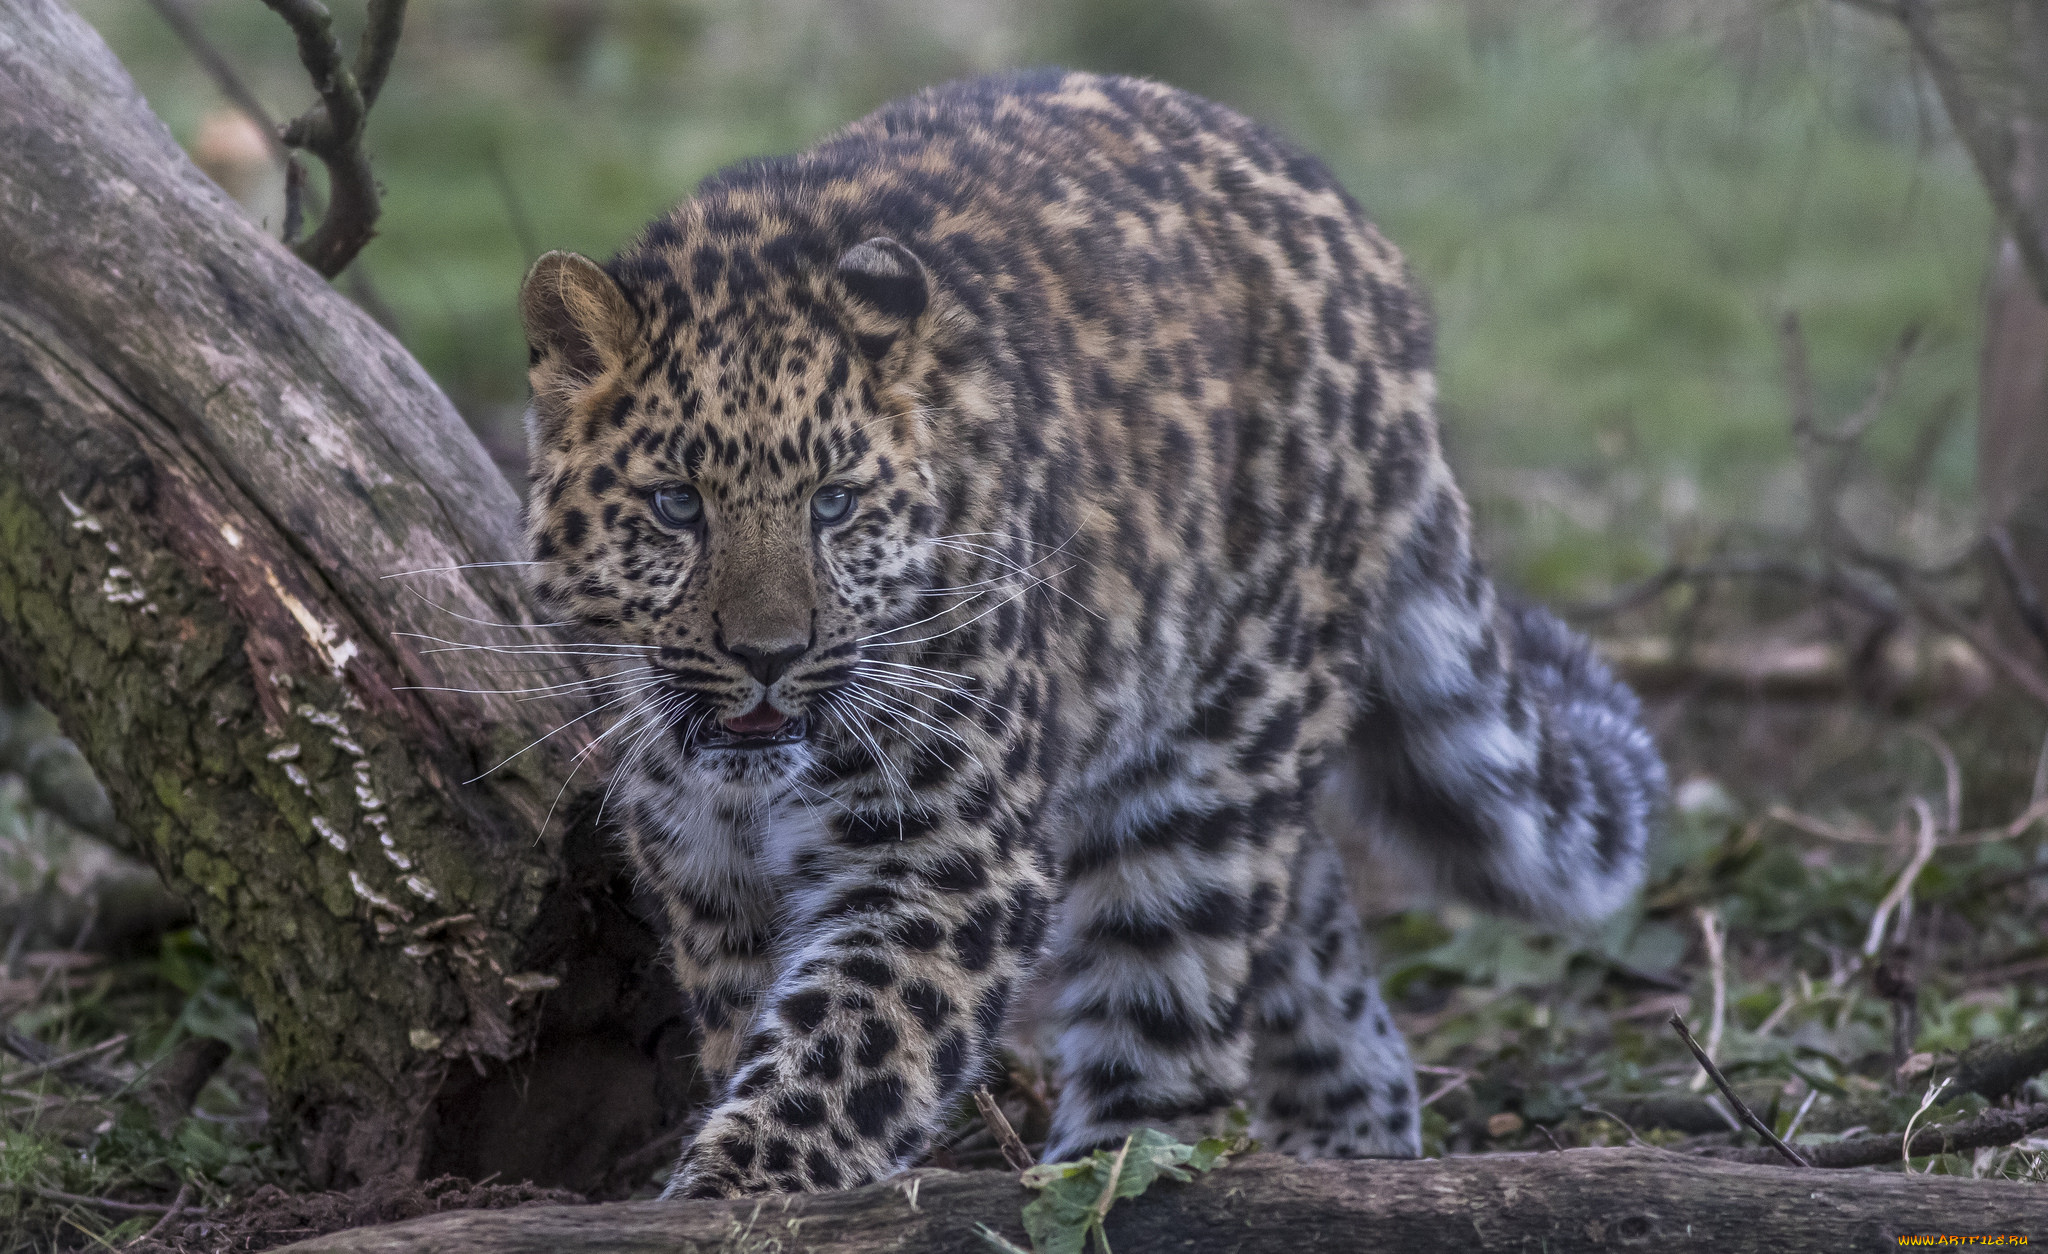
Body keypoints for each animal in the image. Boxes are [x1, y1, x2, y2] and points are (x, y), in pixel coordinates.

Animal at [516, 66, 1662, 1196]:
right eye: (676, 505)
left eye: (833, 505)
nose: (768, 658)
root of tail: (1376, 264)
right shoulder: (705, 870)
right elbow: (752, 1024)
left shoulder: (946, 860)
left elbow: (845, 1057)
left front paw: (732, 1193)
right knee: (1309, 907)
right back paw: (1353, 1140)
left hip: (1214, 745)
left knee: (1178, 1004)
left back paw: (1109, 1172)